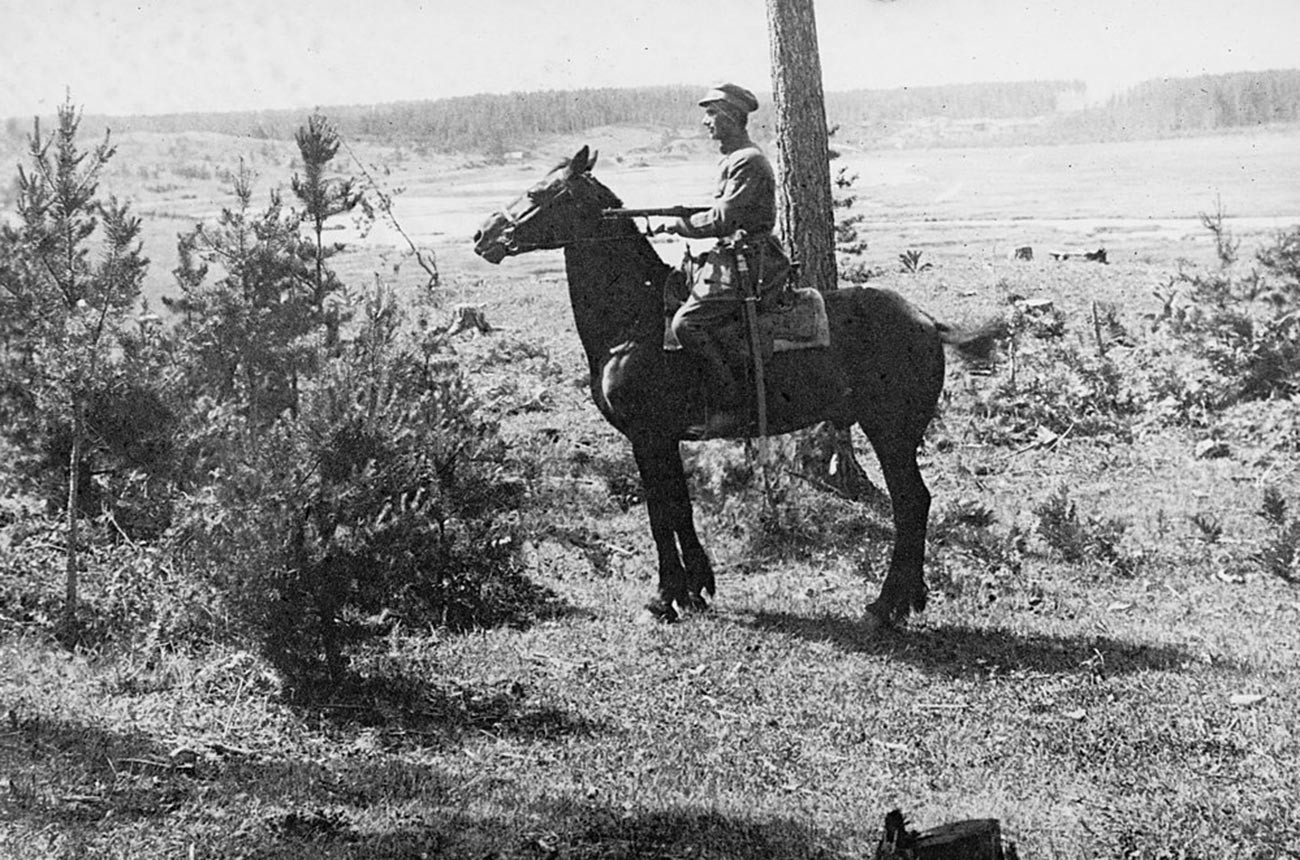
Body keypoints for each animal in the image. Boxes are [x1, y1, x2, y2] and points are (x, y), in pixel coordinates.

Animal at [475, 148, 993, 631]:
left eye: (538, 192)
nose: (483, 235)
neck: (635, 323)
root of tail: (926, 321)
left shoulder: (647, 437)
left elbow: (660, 514)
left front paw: (663, 599)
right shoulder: (665, 440)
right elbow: (680, 508)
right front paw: (696, 590)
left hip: (891, 432)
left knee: (911, 503)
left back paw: (887, 605)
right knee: (914, 504)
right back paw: (907, 599)